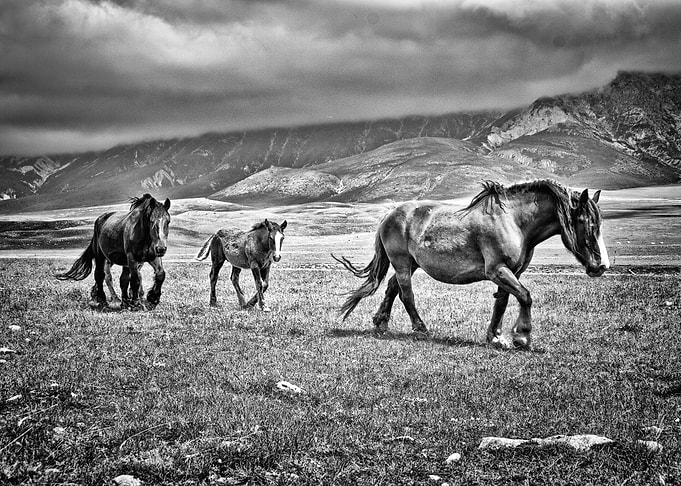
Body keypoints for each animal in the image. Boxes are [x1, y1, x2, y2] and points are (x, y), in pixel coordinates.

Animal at [332, 180, 610, 349]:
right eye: (585, 221)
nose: (601, 266)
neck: (515, 221)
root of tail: (390, 214)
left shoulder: (510, 272)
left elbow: (503, 302)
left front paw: (496, 337)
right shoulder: (498, 270)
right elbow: (525, 296)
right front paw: (521, 336)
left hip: (411, 264)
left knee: (391, 287)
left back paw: (381, 323)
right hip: (401, 263)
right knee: (406, 294)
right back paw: (420, 329)